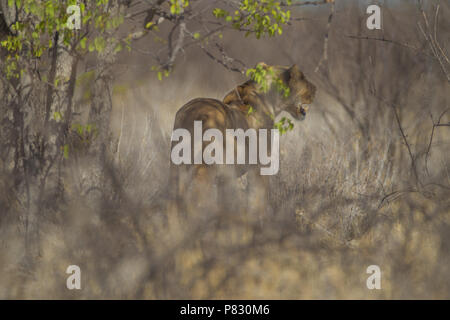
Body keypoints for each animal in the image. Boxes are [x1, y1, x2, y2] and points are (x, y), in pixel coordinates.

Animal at [168, 63, 316, 222]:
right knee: (196, 202)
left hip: (177, 170)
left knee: (173, 204)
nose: (316, 89)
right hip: (204, 169)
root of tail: (191, 114)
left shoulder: (224, 178)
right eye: (303, 77)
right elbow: (259, 201)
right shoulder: (260, 168)